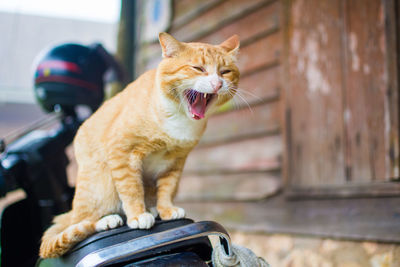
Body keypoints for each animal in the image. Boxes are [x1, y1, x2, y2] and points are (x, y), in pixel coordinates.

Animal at [39, 32, 241, 258]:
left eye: (225, 72)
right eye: (198, 68)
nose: (217, 83)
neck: (179, 119)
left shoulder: (176, 162)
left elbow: (167, 188)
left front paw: (166, 209)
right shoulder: (122, 152)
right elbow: (131, 188)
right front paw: (137, 215)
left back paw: (152, 208)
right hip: (101, 185)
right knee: (82, 222)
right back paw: (108, 220)